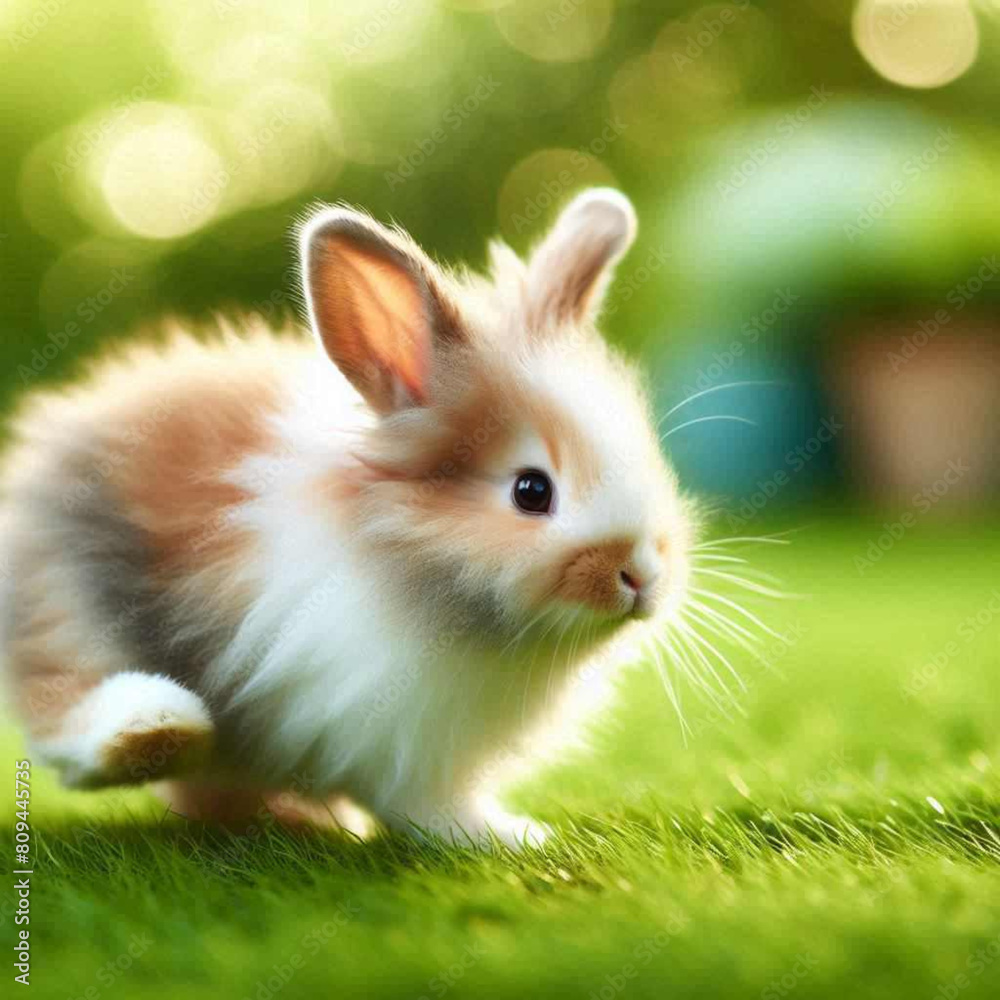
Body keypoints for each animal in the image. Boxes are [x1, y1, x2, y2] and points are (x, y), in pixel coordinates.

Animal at [0, 188, 696, 847]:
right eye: (531, 491)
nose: (641, 575)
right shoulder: (399, 741)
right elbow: (429, 807)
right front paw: (512, 838)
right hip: (69, 605)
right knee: (65, 707)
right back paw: (157, 729)